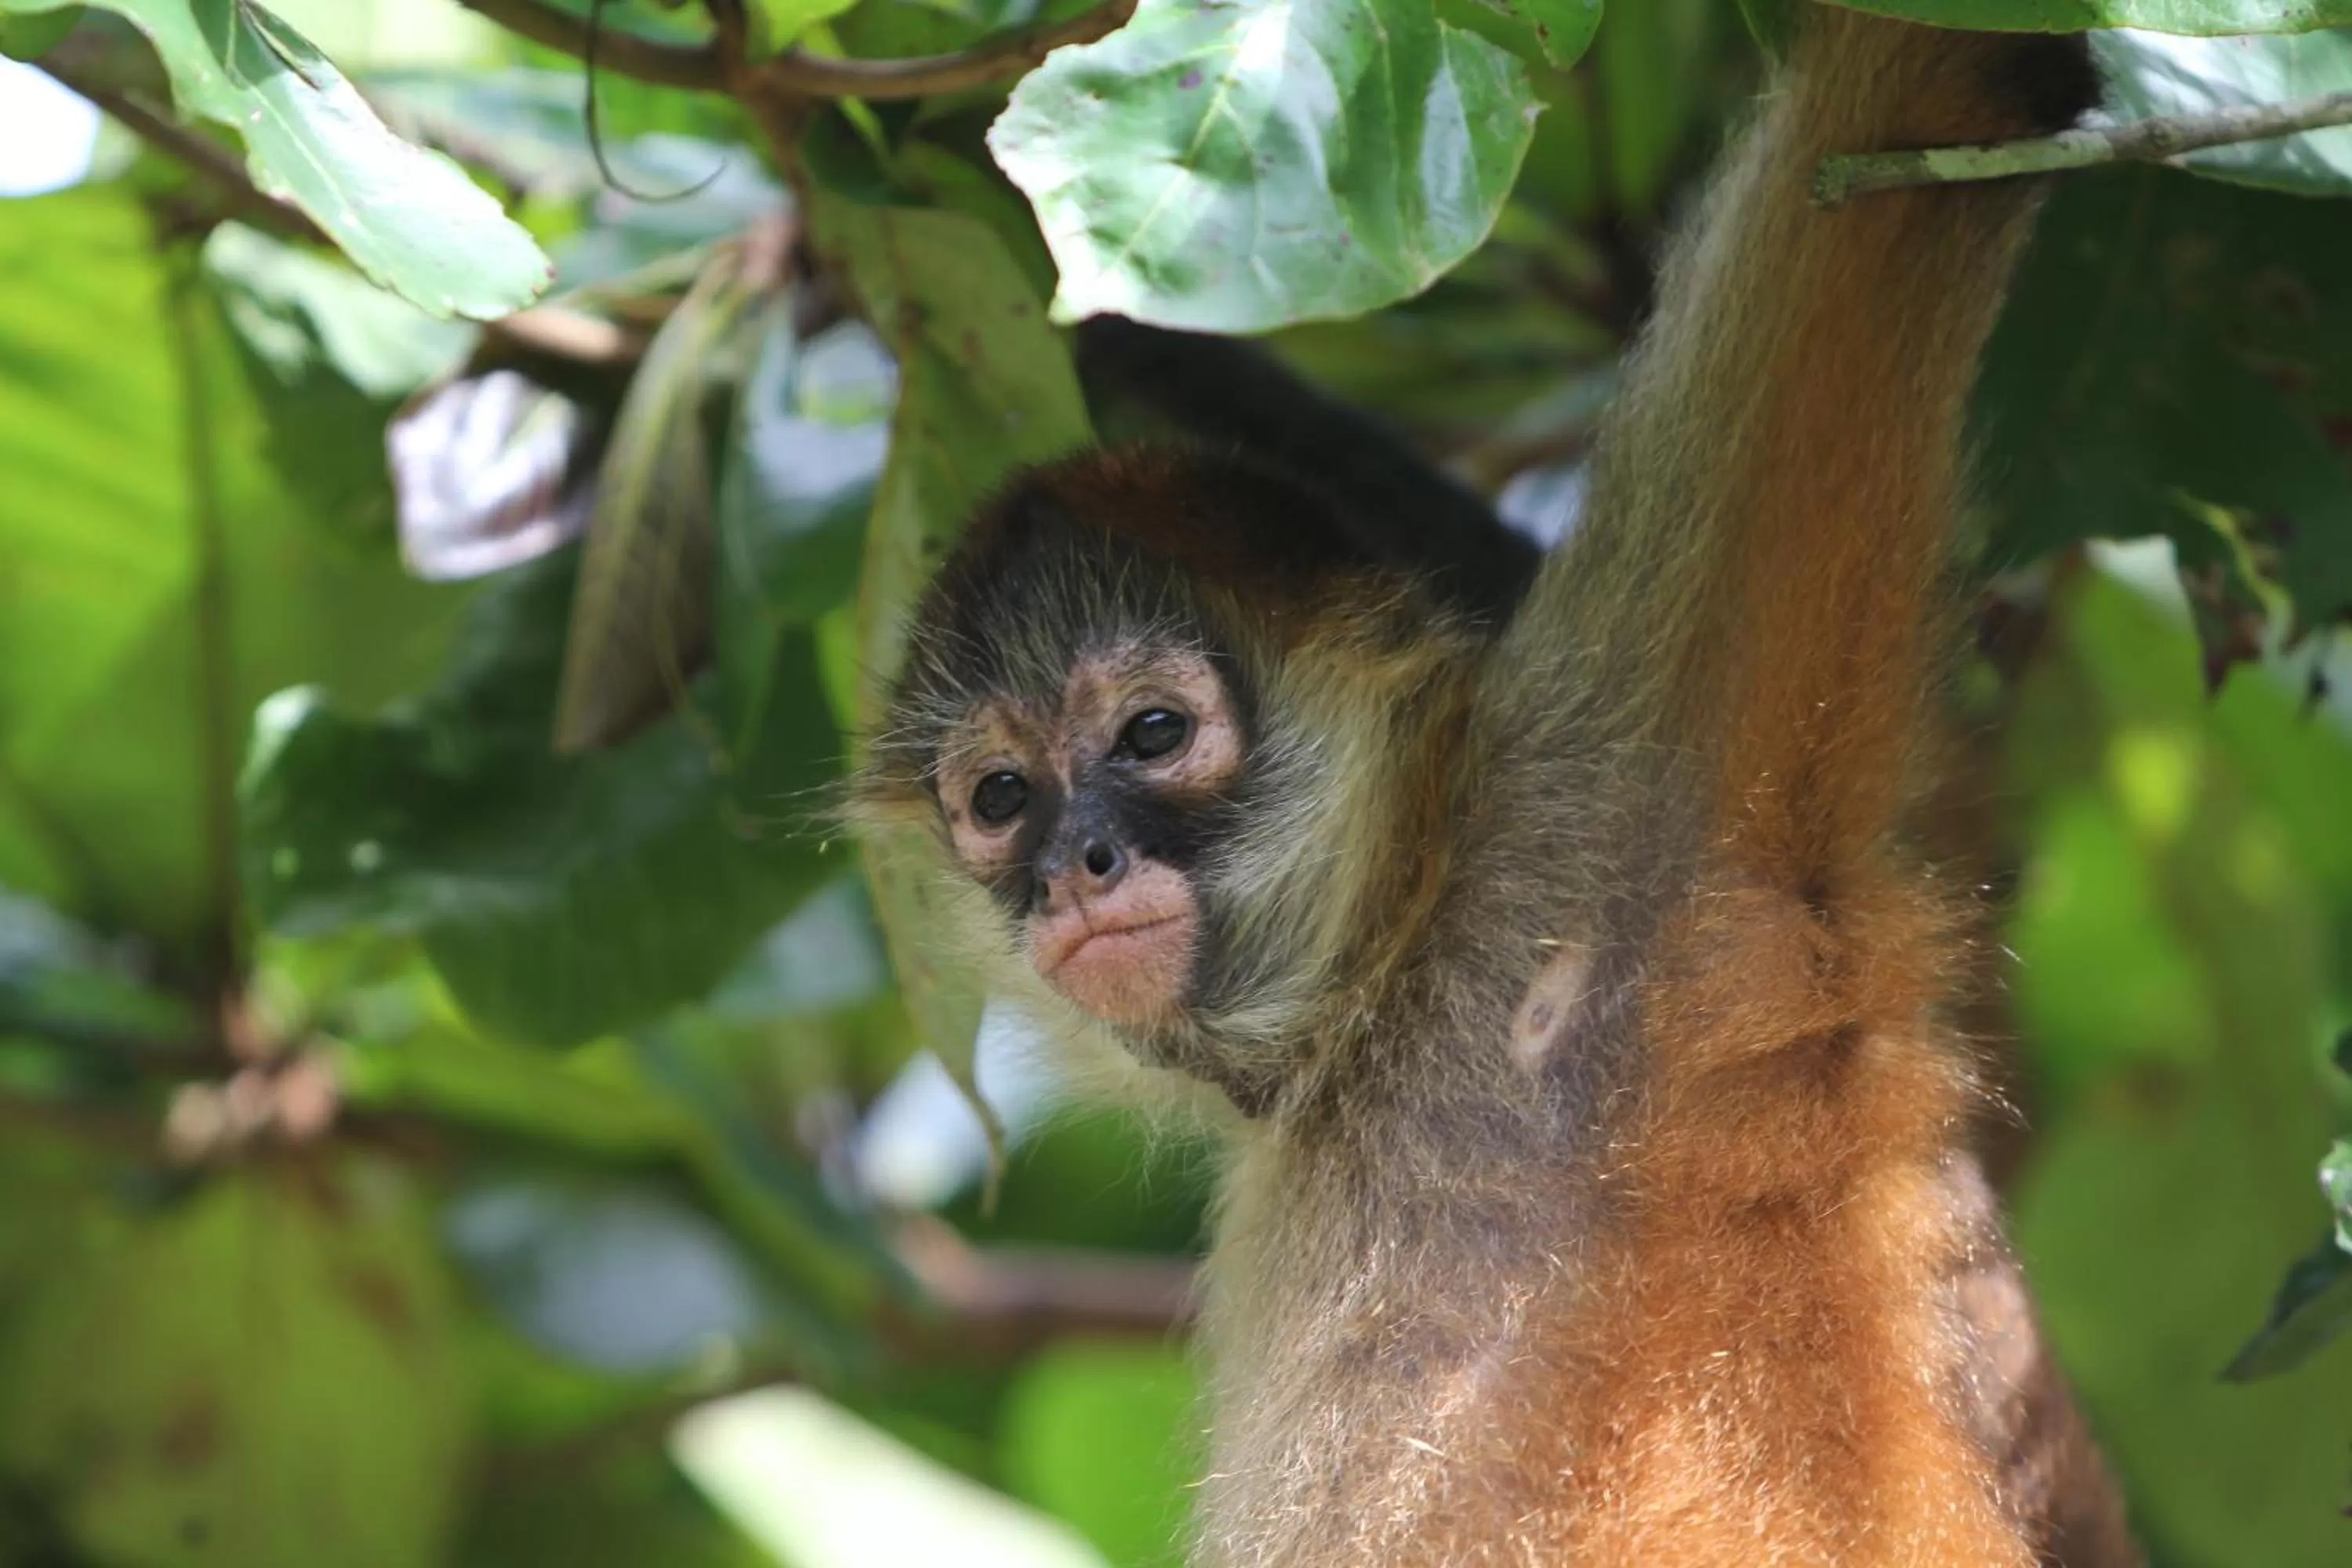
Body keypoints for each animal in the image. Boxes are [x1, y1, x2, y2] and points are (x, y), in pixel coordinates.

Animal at [858, 7, 2138, 1564]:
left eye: (1152, 735)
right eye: (1002, 800)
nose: (1072, 866)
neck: (1391, 983)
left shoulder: (1625, 788)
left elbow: (1923, 107)